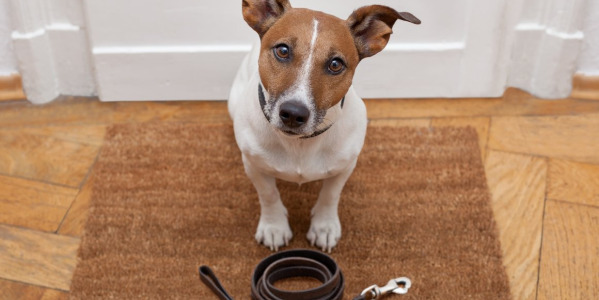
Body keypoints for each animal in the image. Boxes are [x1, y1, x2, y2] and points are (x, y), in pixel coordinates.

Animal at [227, 0, 420, 251]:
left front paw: (324, 227)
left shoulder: (345, 166)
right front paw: (274, 226)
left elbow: (330, 195)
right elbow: (268, 194)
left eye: (335, 64)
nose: (293, 113)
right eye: (282, 50)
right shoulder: (253, 165)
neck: (299, 144)